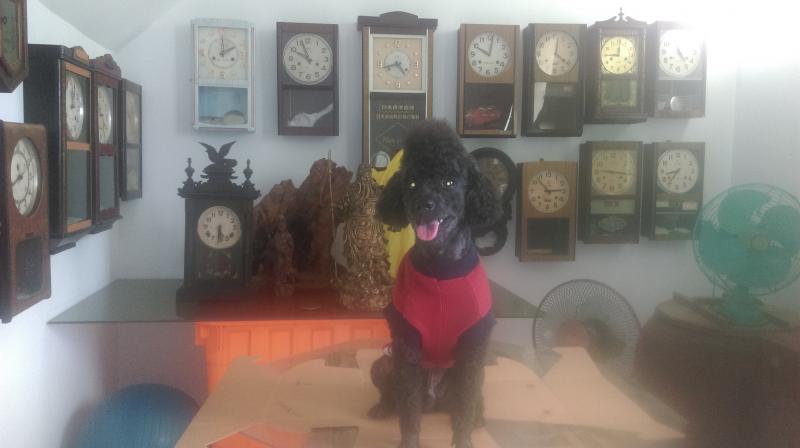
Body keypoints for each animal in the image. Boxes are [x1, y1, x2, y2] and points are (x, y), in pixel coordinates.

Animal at [369, 120, 502, 448]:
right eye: (412, 184)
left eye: (450, 182)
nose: (424, 205)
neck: (441, 268)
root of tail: (432, 401)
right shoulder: (405, 343)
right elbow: (408, 413)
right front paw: (409, 441)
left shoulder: (474, 343)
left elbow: (465, 407)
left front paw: (464, 437)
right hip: (383, 364)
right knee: (395, 395)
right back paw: (382, 407)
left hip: (472, 372)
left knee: (470, 400)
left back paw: (478, 417)